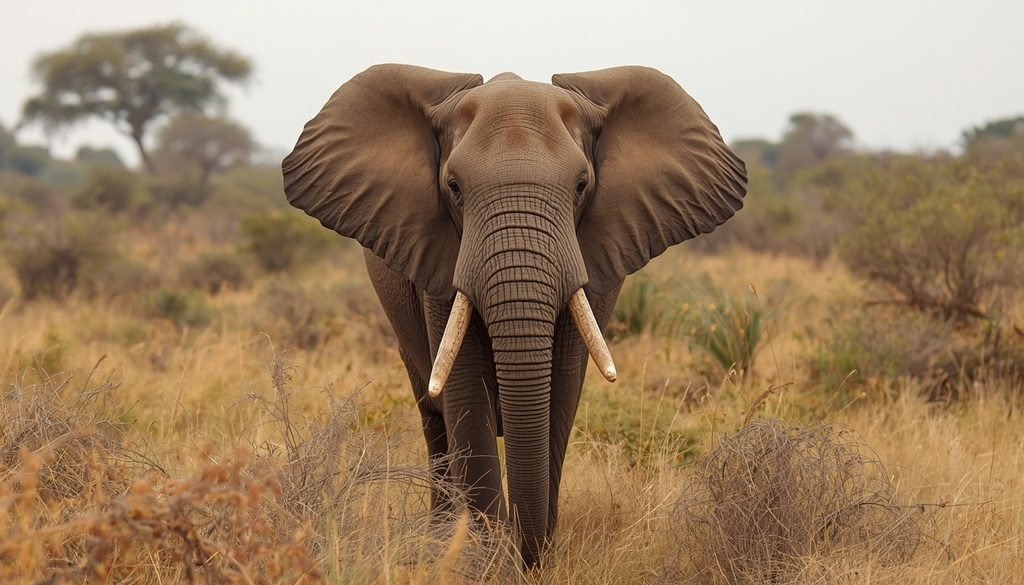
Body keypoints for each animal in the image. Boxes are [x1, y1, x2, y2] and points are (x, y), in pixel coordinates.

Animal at [282, 64, 747, 567]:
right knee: (432, 414)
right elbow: (464, 392)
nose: (526, 554)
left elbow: (561, 391)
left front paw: (531, 558)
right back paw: (438, 539)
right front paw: (489, 560)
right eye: (454, 187)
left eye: (581, 186)